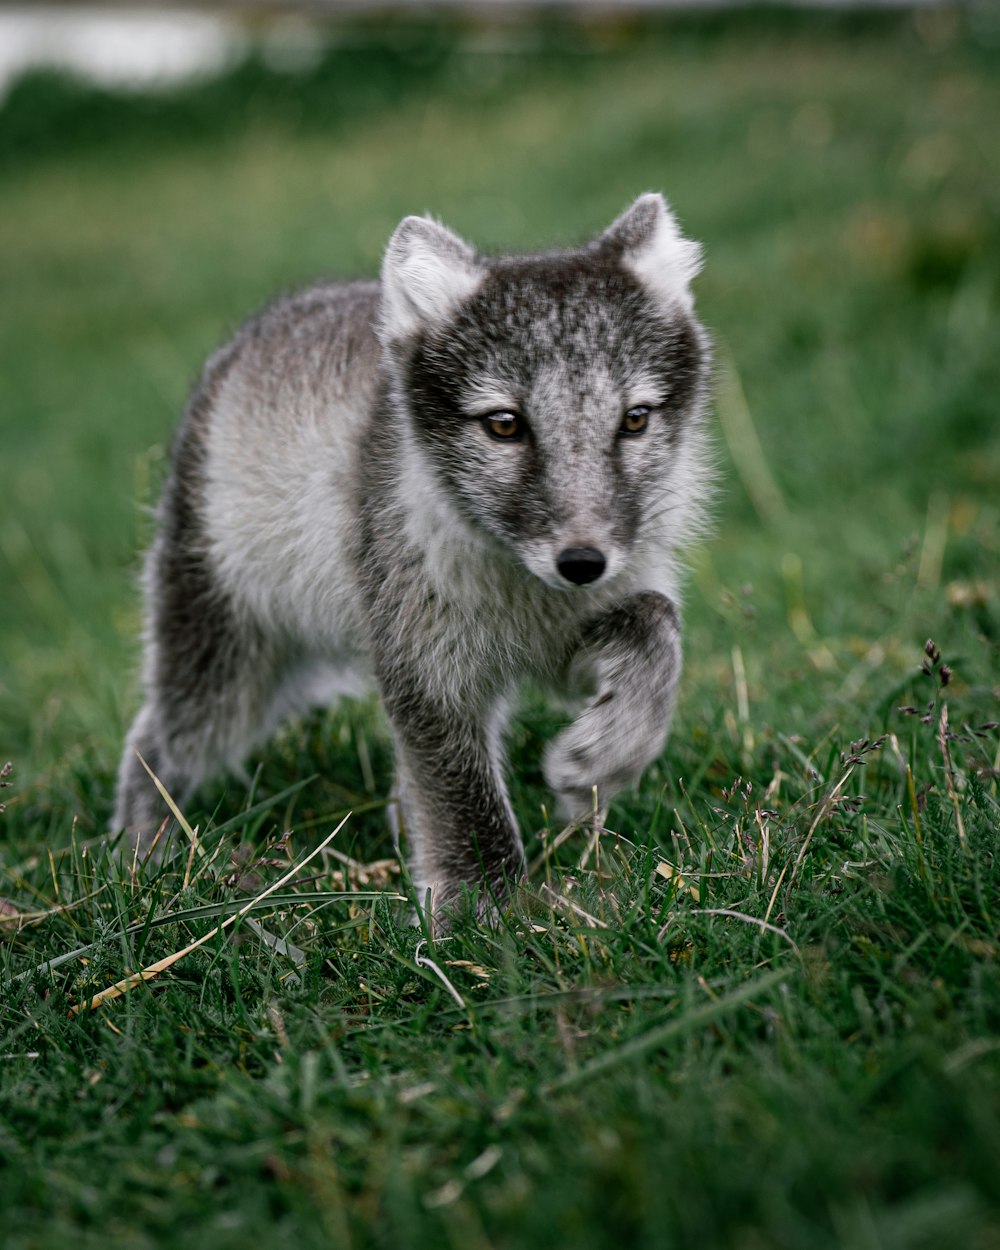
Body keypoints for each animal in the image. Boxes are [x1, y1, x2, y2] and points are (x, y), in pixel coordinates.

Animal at [115, 190, 710, 915]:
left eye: (635, 419)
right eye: (504, 425)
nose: (582, 564)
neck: (522, 589)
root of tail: (263, 323)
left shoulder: (575, 634)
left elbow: (657, 630)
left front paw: (603, 758)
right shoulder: (427, 667)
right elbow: (464, 800)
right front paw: (489, 917)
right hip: (225, 666)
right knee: (156, 740)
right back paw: (142, 855)